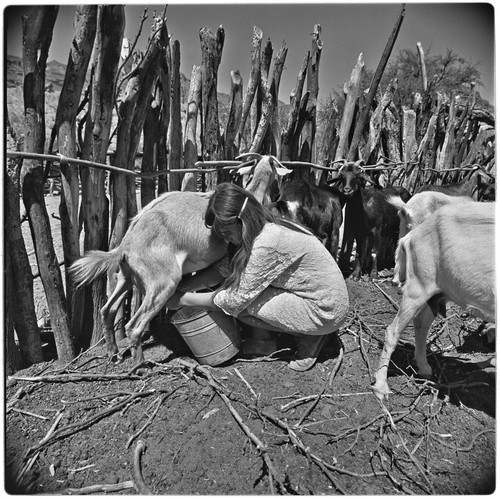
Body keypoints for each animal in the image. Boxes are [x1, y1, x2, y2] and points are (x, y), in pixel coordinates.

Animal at [68, 156, 292, 372]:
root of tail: (125, 245)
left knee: (107, 310)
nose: (280, 196)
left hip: (126, 277)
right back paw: (140, 368)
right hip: (162, 283)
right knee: (134, 326)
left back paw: (113, 354)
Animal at [374, 201, 494, 400]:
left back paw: (424, 369)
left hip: (438, 293)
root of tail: (411, 236)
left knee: (421, 324)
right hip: (418, 285)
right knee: (392, 331)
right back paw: (380, 387)